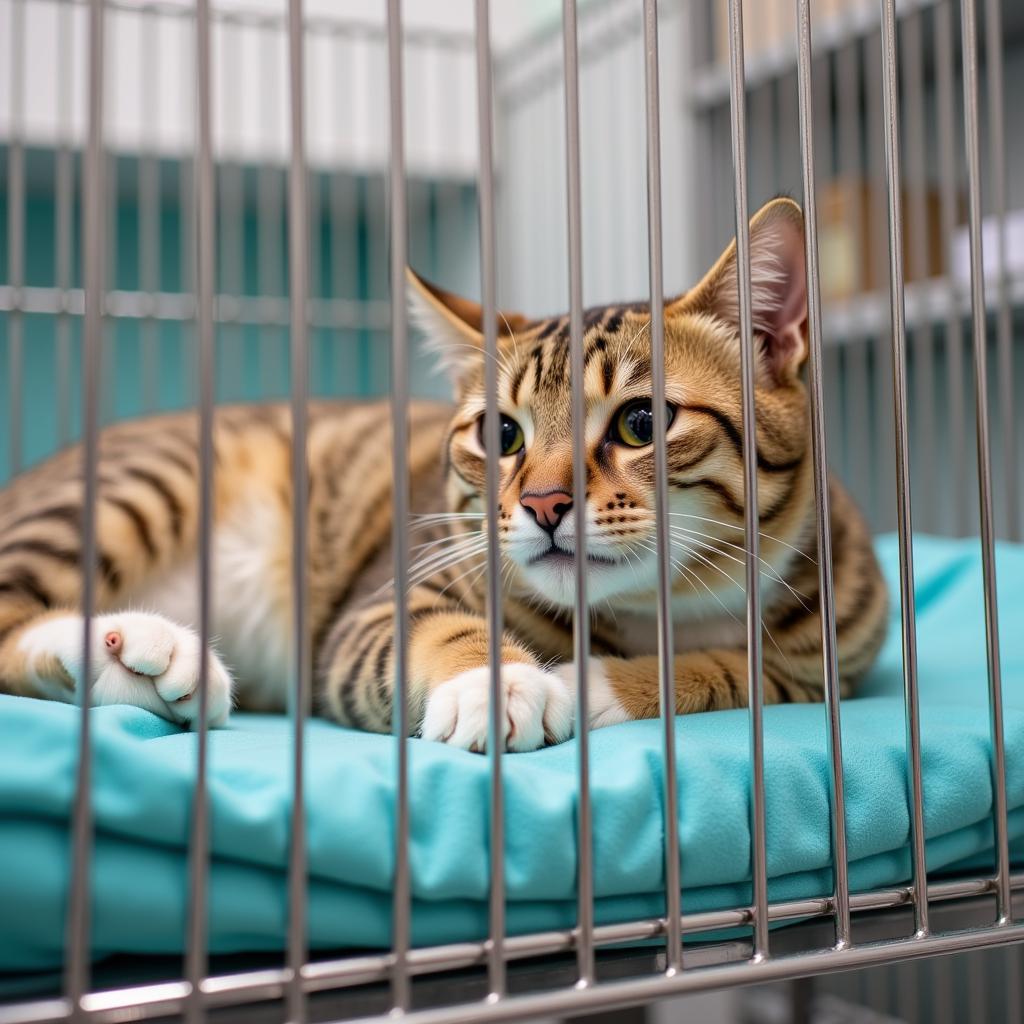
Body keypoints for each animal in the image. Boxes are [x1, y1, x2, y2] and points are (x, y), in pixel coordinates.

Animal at [0, 197, 884, 753]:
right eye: (501, 433)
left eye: (640, 423)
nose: (544, 503)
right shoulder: (382, 604)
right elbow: (424, 629)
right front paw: (505, 683)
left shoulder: (834, 660)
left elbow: (751, 672)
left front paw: (604, 683)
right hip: (144, 482)